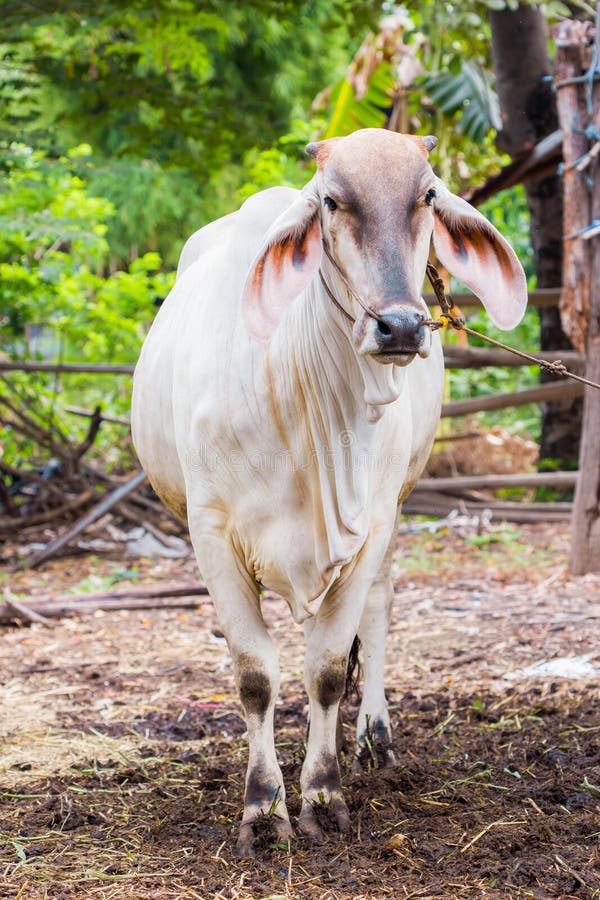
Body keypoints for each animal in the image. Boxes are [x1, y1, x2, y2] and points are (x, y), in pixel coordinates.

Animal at [131, 128, 527, 854]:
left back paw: (373, 737)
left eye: (428, 196)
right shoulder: (211, 534)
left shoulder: (370, 527)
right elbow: (255, 677)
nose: (401, 326)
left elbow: (328, 669)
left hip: (396, 509)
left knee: (375, 613)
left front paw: (321, 795)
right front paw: (263, 809)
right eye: (332, 202)